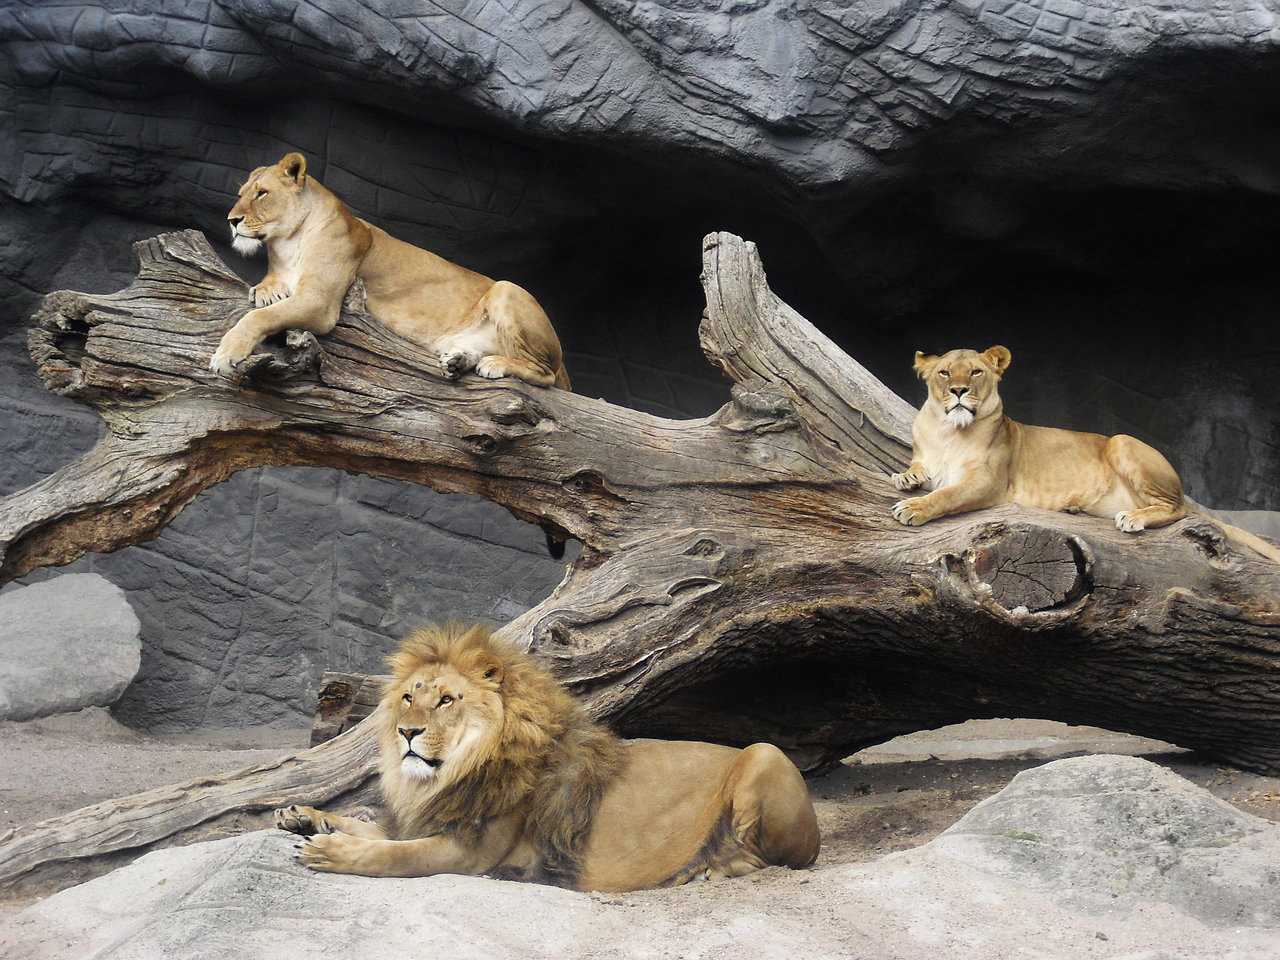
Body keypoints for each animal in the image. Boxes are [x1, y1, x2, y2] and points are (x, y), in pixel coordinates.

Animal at [211, 153, 570, 389]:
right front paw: (266, 290)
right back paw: (457, 361)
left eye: (262, 193)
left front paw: (225, 355)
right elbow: (267, 291)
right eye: (241, 194)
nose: (231, 220)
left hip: (508, 289)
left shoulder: (321, 303)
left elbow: (258, 317)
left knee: (546, 375)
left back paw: (496, 364)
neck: (286, 241)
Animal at [274, 621, 820, 891]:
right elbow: (366, 825)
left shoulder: (468, 851)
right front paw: (302, 816)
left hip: (766, 755)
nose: (407, 732)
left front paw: (330, 852)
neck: (448, 774)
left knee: (768, 858)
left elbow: (393, 855)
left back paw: (709, 866)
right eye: (409, 697)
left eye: (446, 700)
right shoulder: (428, 817)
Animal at [890, 345, 1280, 563]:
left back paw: (1134, 517)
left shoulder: (989, 483)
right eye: (944, 373)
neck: (948, 431)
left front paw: (912, 508)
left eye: (975, 372)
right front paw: (906, 477)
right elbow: (918, 467)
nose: (958, 390)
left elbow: (947, 494)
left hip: (1122, 441)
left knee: (1178, 509)